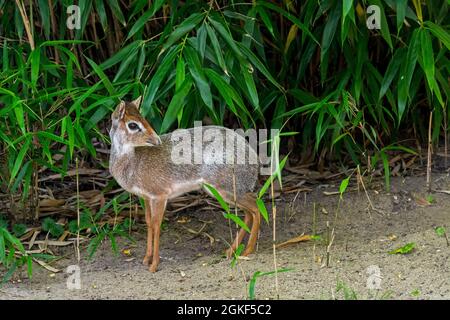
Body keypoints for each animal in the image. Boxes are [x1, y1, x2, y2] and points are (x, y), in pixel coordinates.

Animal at [108, 97, 260, 272]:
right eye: (133, 124)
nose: (156, 140)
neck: (133, 161)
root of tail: (254, 159)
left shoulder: (160, 196)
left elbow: (157, 224)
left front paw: (154, 265)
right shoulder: (146, 197)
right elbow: (149, 222)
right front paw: (146, 259)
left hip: (226, 190)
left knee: (256, 208)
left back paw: (247, 251)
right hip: (224, 192)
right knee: (248, 213)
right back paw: (230, 251)